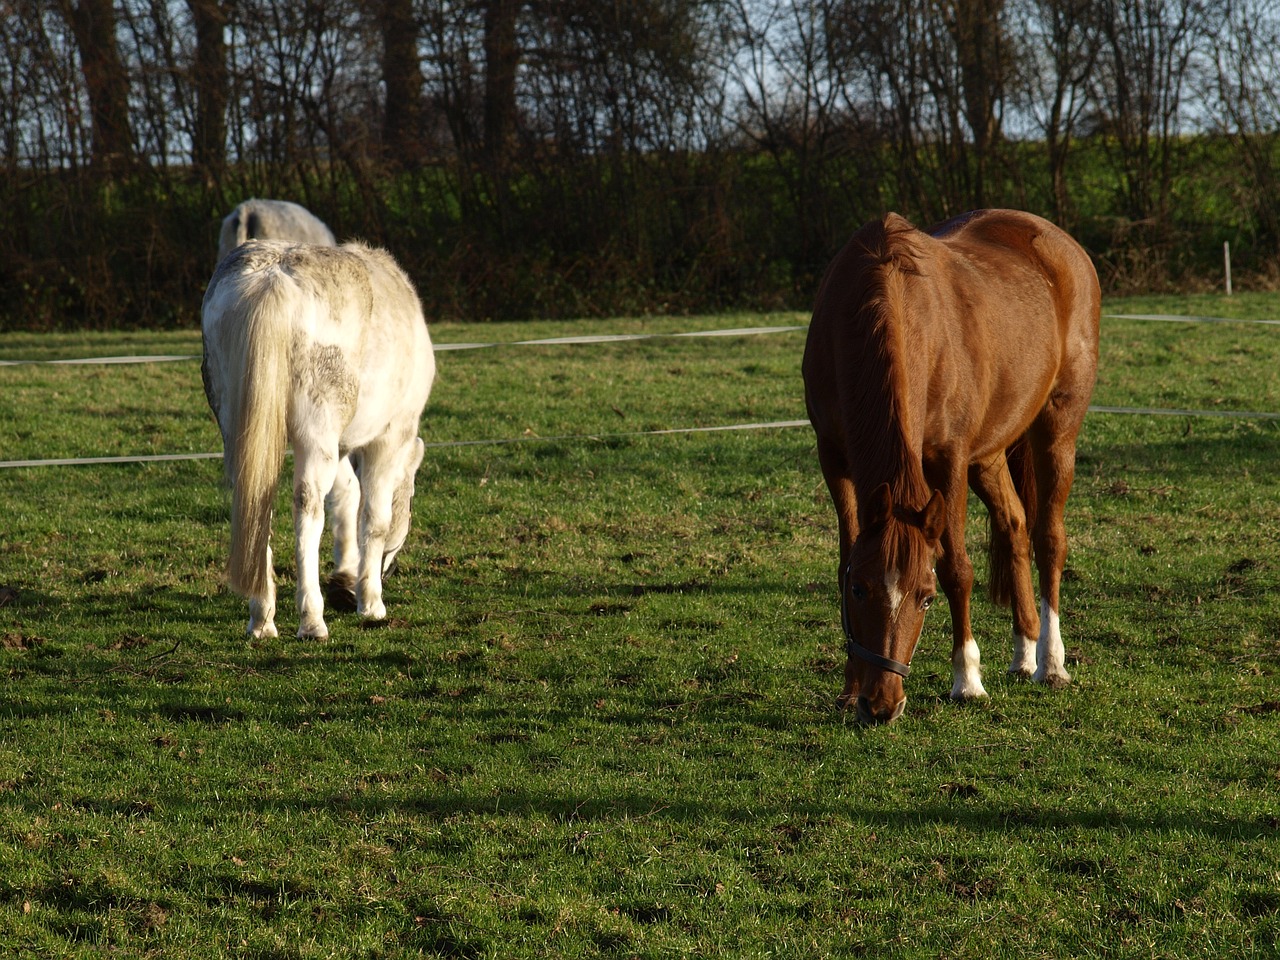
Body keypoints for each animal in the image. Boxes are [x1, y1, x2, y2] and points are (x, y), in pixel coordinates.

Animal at [200, 240, 435, 640]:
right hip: (316, 431)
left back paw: (262, 618)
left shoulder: (338, 447)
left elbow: (346, 499)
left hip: (244, 431)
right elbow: (374, 518)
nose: (389, 568)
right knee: (307, 507)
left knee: (256, 499)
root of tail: (271, 277)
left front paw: (345, 575)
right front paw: (371, 602)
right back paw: (311, 618)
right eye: (413, 497)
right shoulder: (389, 439)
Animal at [803, 208, 1105, 721]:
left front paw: (966, 680)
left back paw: (1051, 663)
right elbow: (845, 556)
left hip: (1056, 427)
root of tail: (1060, 243)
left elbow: (957, 569)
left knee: (1049, 538)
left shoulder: (949, 460)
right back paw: (1024, 652)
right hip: (988, 455)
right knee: (1014, 525)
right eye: (859, 590)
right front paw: (847, 689)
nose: (882, 705)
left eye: (925, 598)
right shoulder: (834, 458)